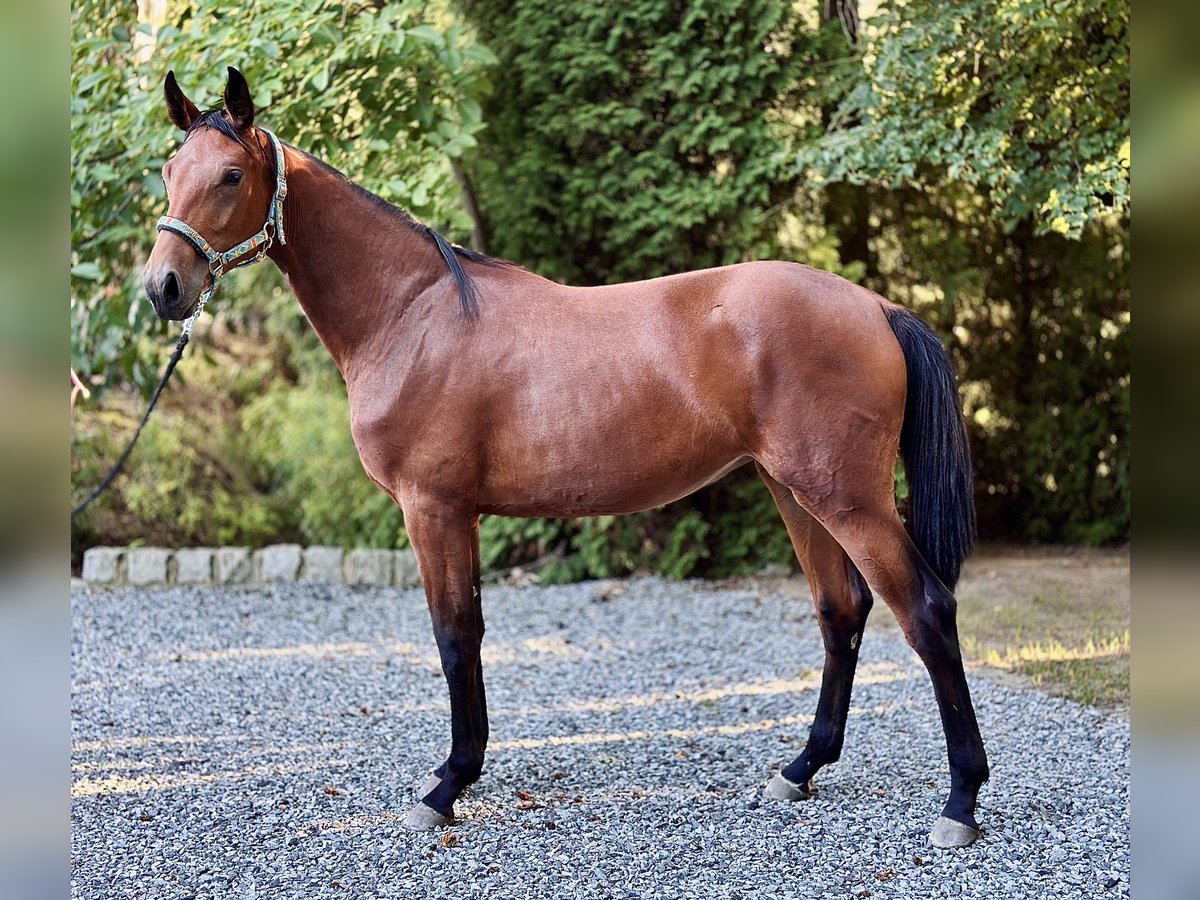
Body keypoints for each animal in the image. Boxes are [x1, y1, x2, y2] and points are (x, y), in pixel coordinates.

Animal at [142, 68, 984, 844]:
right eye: (169, 170)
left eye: (231, 175)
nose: (164, 287)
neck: (411, 313)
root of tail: (875, 305)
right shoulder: (461, 515)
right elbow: (471, 633)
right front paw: (462, 771)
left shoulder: (432, 508)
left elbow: (452, 637)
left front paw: (445, 786)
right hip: (794, 491)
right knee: (841, 611)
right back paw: (800, 770)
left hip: (849, 499)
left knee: (927, 613)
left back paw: (961, 804)